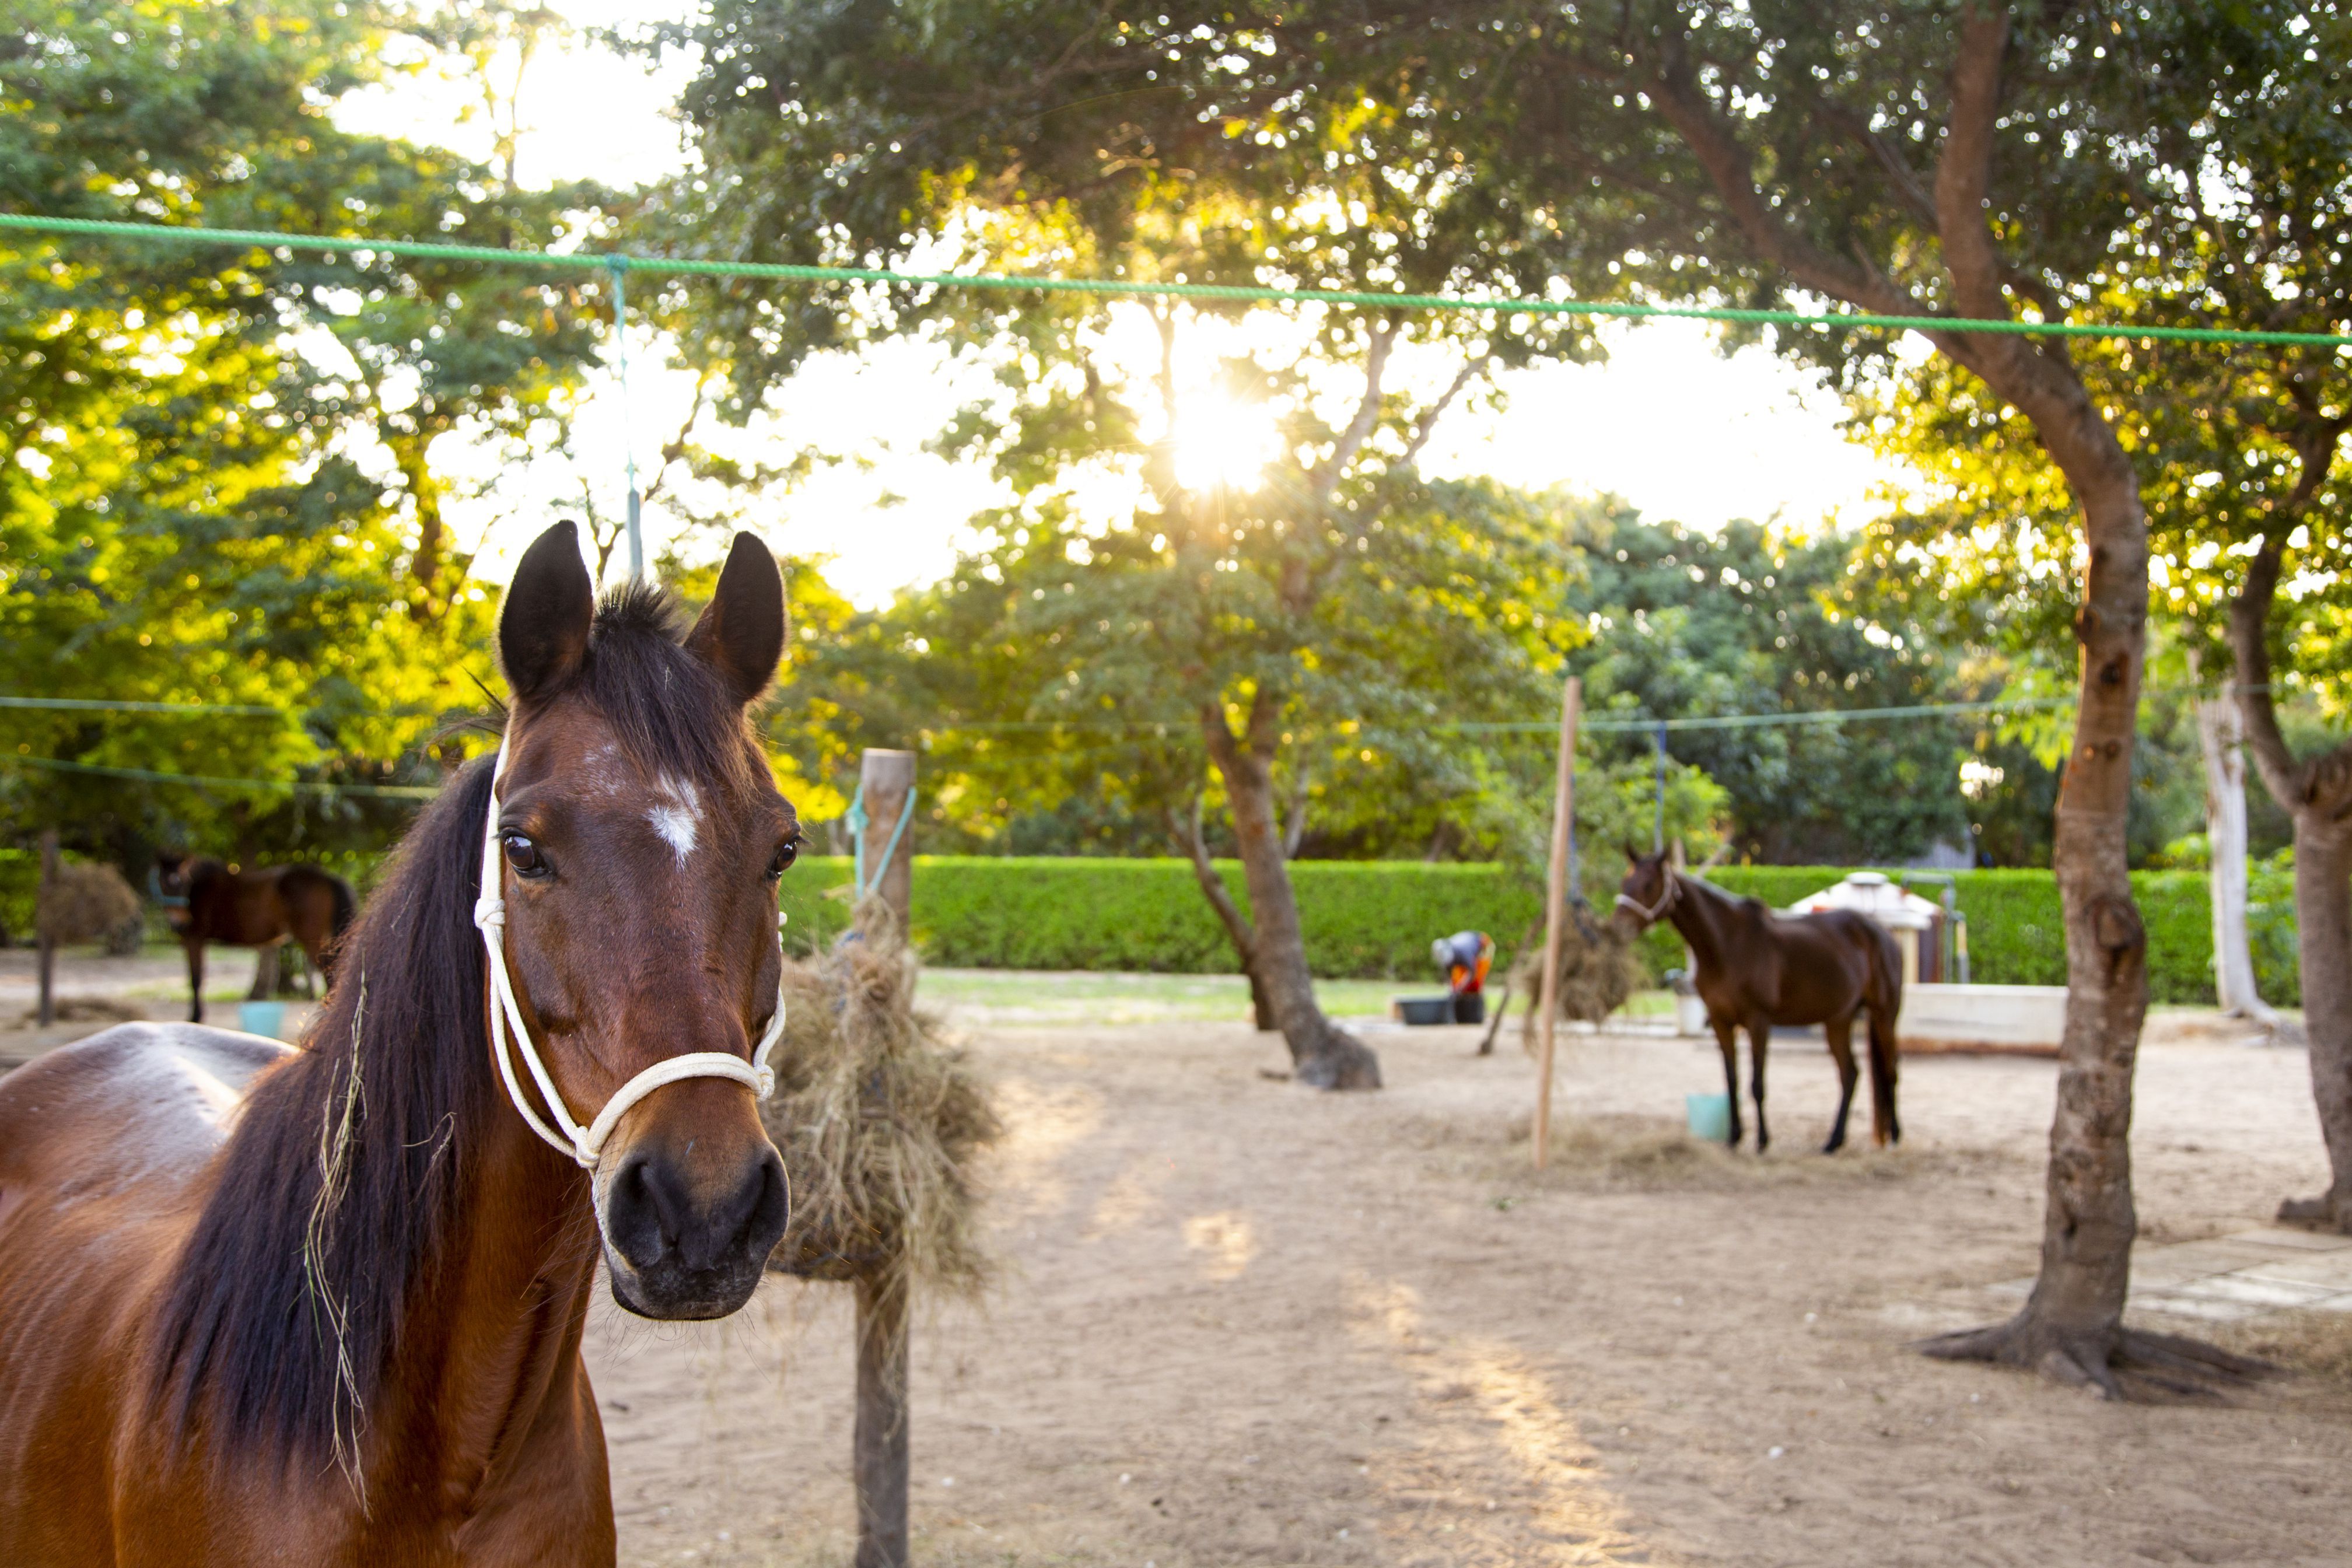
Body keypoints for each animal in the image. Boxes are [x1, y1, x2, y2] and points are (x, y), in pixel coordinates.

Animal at [154, 850, 355, 1025]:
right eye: (163, 883)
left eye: (184, 883)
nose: (179, 923)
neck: (200, 889)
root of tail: (329, 877)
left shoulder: (194, 939)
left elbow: (196, 980)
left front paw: (195, 1017)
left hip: (311, 940)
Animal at [1608, 850, 1900, 1161]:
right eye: (1625, 881)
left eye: (1649, 884)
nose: (1618, 929)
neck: (1727, 944)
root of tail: (1883, 934)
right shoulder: (1721, 1022)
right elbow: (1732, 1081)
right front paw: (1733, 1139)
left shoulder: (1758, 1022)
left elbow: (1757, 1085)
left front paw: (1761, 1141)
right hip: (1838, 1020)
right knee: (1850, 1075)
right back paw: (1833, 1142)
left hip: (1885, 1015)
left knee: (1891, 1071)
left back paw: (1894, 1137)